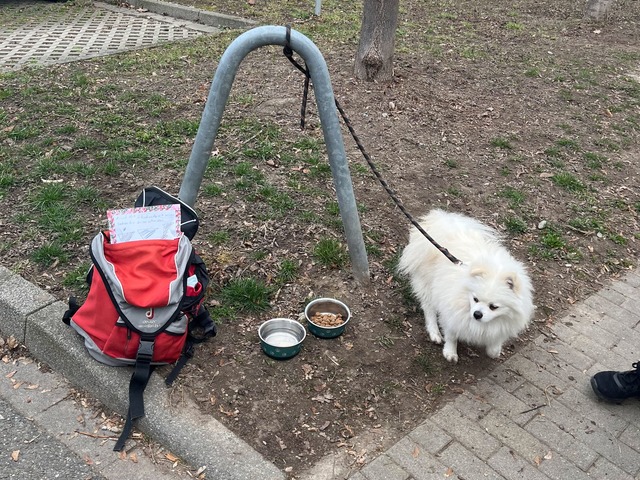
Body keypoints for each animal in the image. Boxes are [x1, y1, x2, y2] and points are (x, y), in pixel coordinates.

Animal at [398, 208, 532, 362]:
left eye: (493, 307)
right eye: (475, 299)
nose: (477, 314)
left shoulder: (504, 324)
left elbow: (496, 339)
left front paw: (494, 350)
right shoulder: (452, 313)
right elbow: (451, 335)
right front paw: (450, 352)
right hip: (428, 284)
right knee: (429, 309)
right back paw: (434, 333)